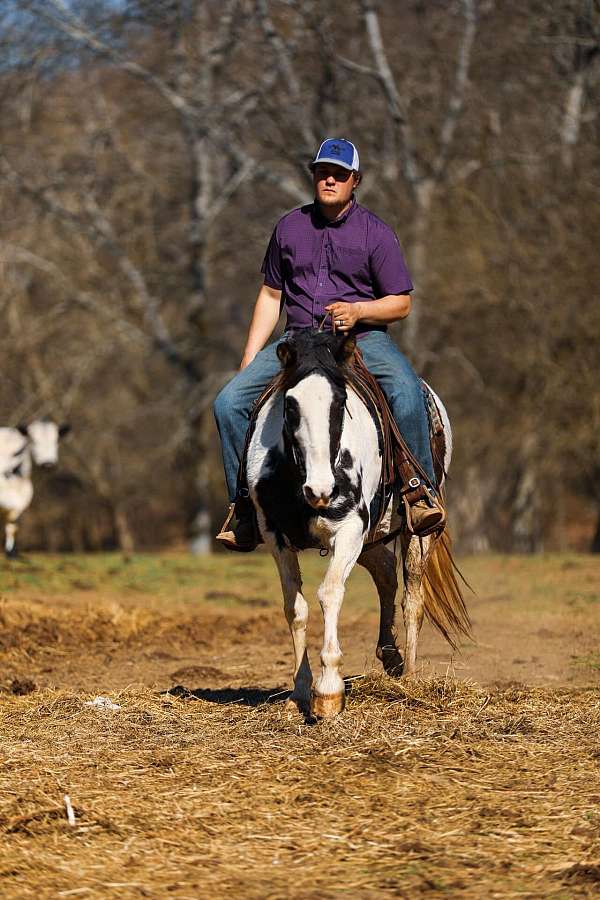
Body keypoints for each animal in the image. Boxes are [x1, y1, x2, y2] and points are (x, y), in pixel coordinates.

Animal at [0, 420, 71, 556]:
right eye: (33, 440)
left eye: (56, 440)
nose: (47, 464)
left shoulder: (20, 504)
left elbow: (13, 527)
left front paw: (11, 553)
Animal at [246, 328, 472, 716]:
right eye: (290, 406)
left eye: (340, 404)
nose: (320, 489)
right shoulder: (275, 535)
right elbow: (296, 608)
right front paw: (300, 691)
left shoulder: (350, 528)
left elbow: (330, 592)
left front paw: (329, 691)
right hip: (371, 537)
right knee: (385, 571)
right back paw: (391, 656)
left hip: (416, 531)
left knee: (413, 598)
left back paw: (410, 678)